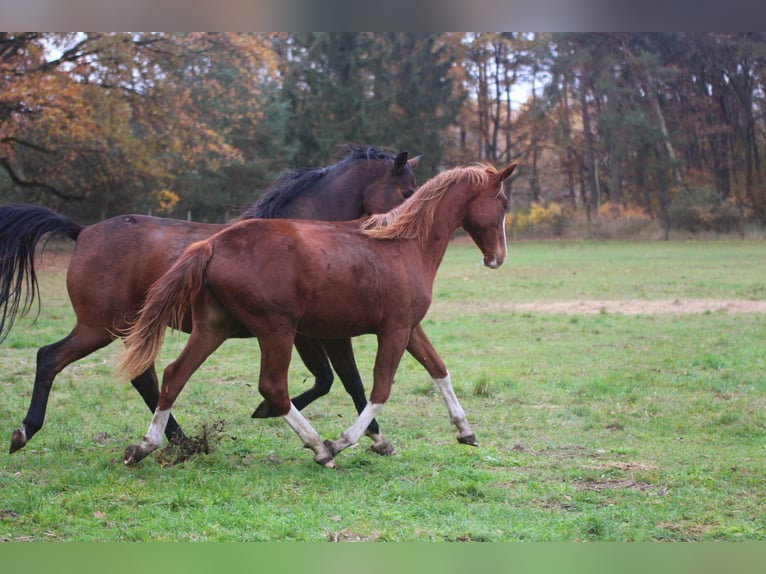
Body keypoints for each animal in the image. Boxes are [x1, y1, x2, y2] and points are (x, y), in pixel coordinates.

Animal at [0, 147, 420, 454]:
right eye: (406, 193)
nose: (409, 228)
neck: (307, 234)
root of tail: (83, 231)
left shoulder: (304, 333)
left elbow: (332, 381)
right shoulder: (309, 333)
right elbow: (344, 381)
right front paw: (368, 437)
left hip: (126, 328)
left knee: (145, 378)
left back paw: (180, 441)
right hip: (97, 327)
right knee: (51, 358)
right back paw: (26, 430)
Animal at [118, 161, 516, 468]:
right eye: (504, 203)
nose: (498, 258)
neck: (405, 244)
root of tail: (211, 244)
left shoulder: (409, 328)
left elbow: (438, 369)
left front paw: (465, 431)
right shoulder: (393, 330)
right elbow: (379, 388)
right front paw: (344, 441)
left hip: (214, 327)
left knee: (174, 375)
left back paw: (145, 446)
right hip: (276, 330)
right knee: (272, 386)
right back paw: (319, 448)